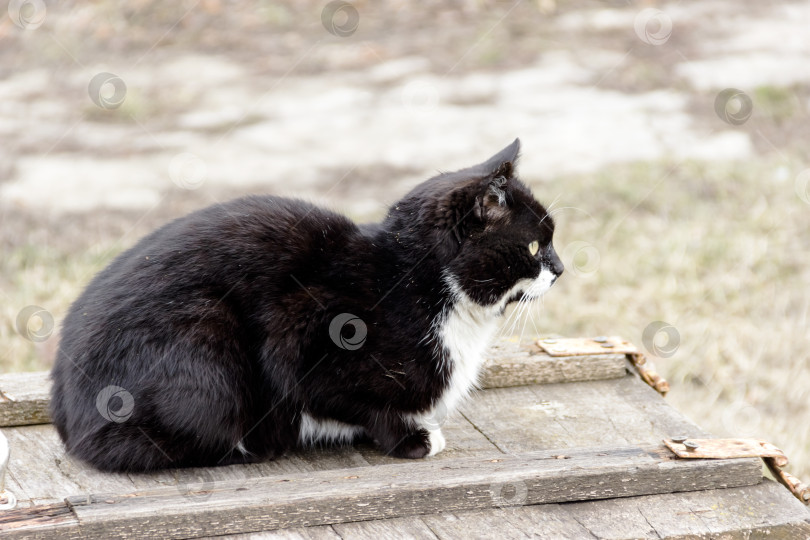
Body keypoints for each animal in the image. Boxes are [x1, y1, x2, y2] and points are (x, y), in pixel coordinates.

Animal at [50, 139, 560, 472]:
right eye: (536, 246)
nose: (560, 268)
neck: (424, 286)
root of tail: (68, 420)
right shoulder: (305, 328)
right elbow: (353, 401)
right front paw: (410, 438)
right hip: (205, 335)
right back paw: (255, 444)